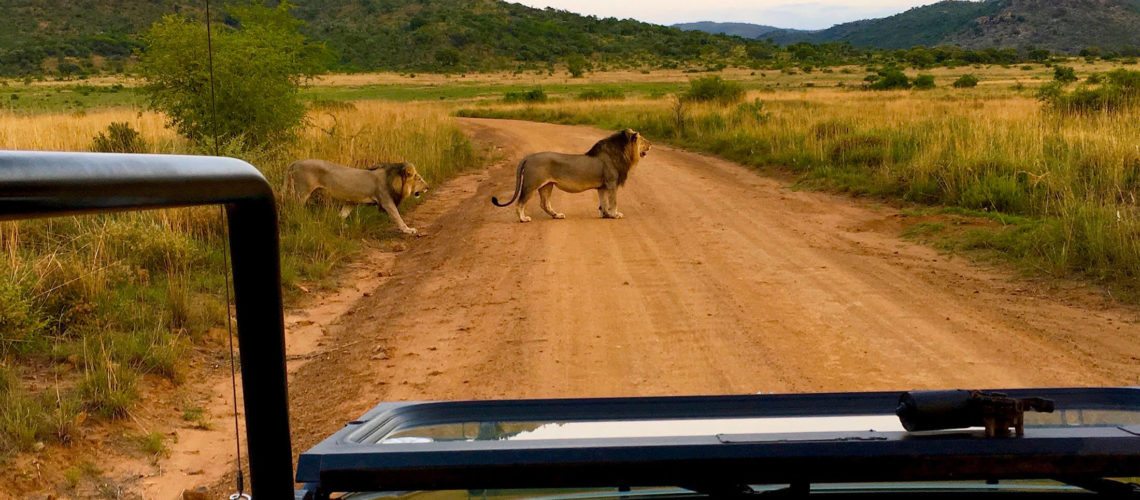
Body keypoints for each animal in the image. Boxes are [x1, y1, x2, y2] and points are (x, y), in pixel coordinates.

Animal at [285, 159, 428, 235]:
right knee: (294, 209)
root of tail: (296, 162)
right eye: (419, 179)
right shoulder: (386, 201)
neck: (393, 178)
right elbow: (398, 217)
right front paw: (408, 230)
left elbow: (341, 215)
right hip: (302, 192)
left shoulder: (351, 201)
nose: (428, 187)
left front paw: (342, 225)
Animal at [490, 129, 652, 223]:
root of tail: (528, 157)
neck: (621, 153)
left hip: (547, 185)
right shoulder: (611, 183)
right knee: (520, 203)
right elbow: (613, 201)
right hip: (531, 184)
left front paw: (605, 214)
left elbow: (603, 202)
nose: (651, 144)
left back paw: (557, 215)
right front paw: (615, 215)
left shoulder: (602, 186)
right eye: (643, 140)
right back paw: (523, 219)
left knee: (544, 203)